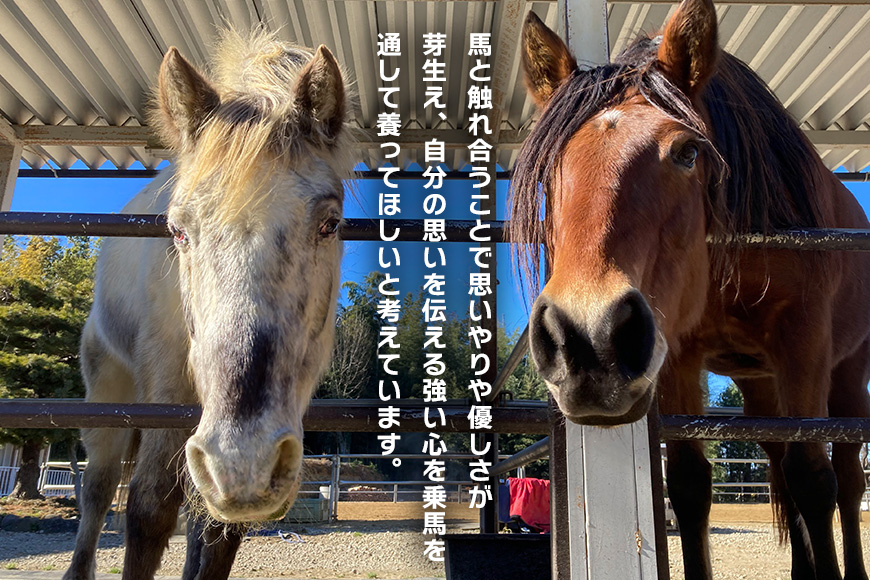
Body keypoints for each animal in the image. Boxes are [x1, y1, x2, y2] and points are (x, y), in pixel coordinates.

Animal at [63, 28, 351, 580]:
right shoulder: (166, 392)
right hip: (109, 397)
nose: (245, 461)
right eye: (178, 231)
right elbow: (149, 510)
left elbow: (218, 539)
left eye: (330, 224)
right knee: (96, 491)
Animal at [511, 1, 870, 578]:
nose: (588, 341)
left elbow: (816, 480)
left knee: (845, 477)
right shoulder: (678, 351)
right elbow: (689, 485)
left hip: (846, 370)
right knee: (779, 466)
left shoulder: (805, 343)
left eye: (687, 152)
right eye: (546, 168)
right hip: (759, 381)